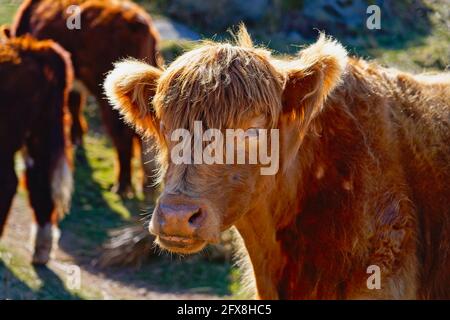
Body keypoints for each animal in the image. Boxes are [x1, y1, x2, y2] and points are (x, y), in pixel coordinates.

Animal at [11, 0, 163, 198]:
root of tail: (139, 22)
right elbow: (75, 106)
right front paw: (77, 139)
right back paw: (146, 185)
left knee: (123, 136)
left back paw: (122, 186)